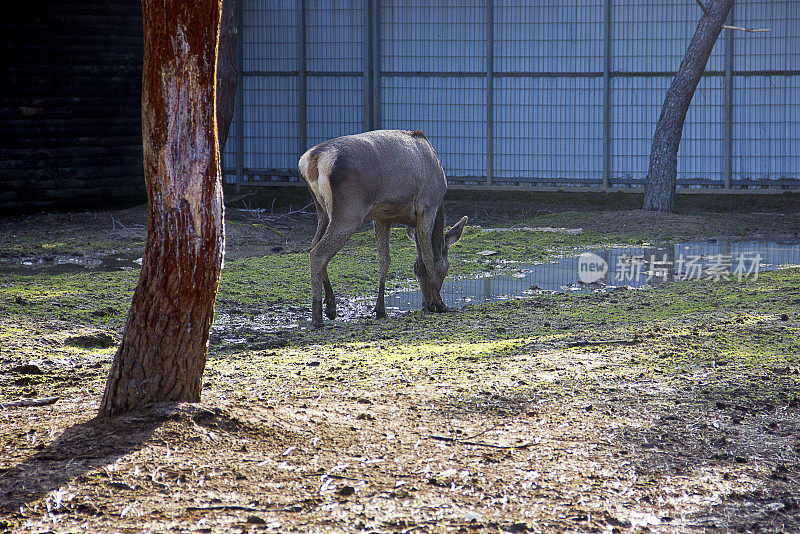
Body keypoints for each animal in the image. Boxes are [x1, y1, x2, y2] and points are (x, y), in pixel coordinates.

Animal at [296, 132, 466, 328]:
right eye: (446, 267)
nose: (426, 304)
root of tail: (312, 160)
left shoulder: (382, 217)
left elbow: (385, 260)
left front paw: (380, 309)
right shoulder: (427, 206)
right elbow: (427, 255)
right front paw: (440, 303)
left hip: (322, 210)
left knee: (313, 243)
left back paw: (331, 306)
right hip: (349, 210)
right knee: (318, 253)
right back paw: (317, 317)